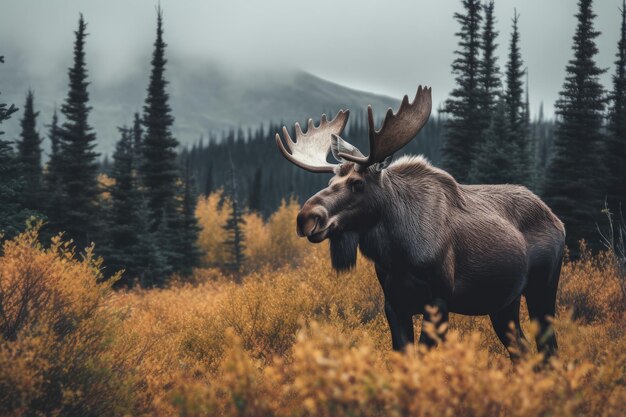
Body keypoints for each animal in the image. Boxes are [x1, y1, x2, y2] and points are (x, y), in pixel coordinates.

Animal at [276, 85, 564, 358]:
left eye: (357, 183)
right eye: (330, 181)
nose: (306, 217)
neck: (396, 254)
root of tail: (558, 221)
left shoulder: (439, 299)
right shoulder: (394, 303)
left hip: (543, 288)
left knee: (548, 349)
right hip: (504, 304)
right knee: (522, 350)